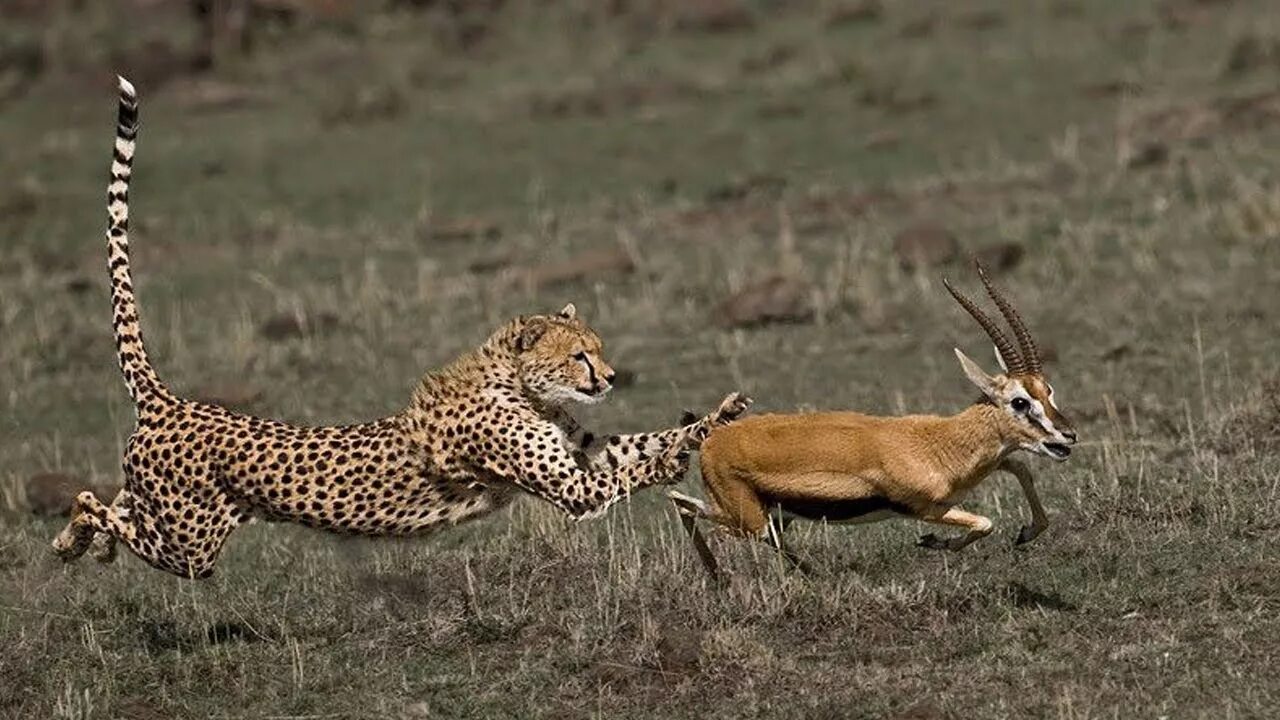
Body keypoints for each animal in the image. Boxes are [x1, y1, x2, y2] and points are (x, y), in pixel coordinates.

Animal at [52, 75, 747, 576]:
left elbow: (643, 441)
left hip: (173, 522)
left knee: (116, 502)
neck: (522, 386)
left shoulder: (581, 452)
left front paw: (718, 414)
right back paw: (79, 533)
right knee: (101, 505)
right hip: (191, 544)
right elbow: (631, 471)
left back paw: (74, 542)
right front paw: (675, 460)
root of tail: (173, 403)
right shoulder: (575, 487)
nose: (608, 377)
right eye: (580, 355)